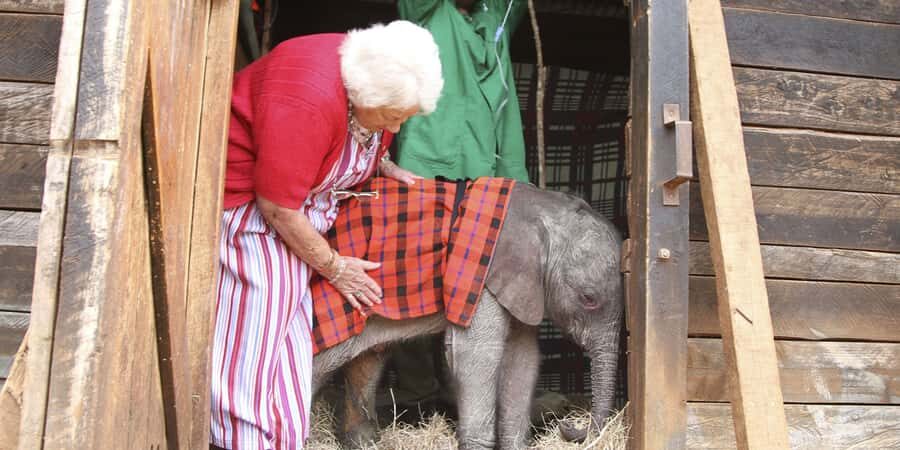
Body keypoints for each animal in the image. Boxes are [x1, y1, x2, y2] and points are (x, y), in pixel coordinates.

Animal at [311, 182, 624, 449]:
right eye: (588, 299)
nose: (569, 425)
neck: (543, 207)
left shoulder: (522, 284)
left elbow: (523, 357)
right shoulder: (484, 275)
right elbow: (478, 354)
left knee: (369, 359)